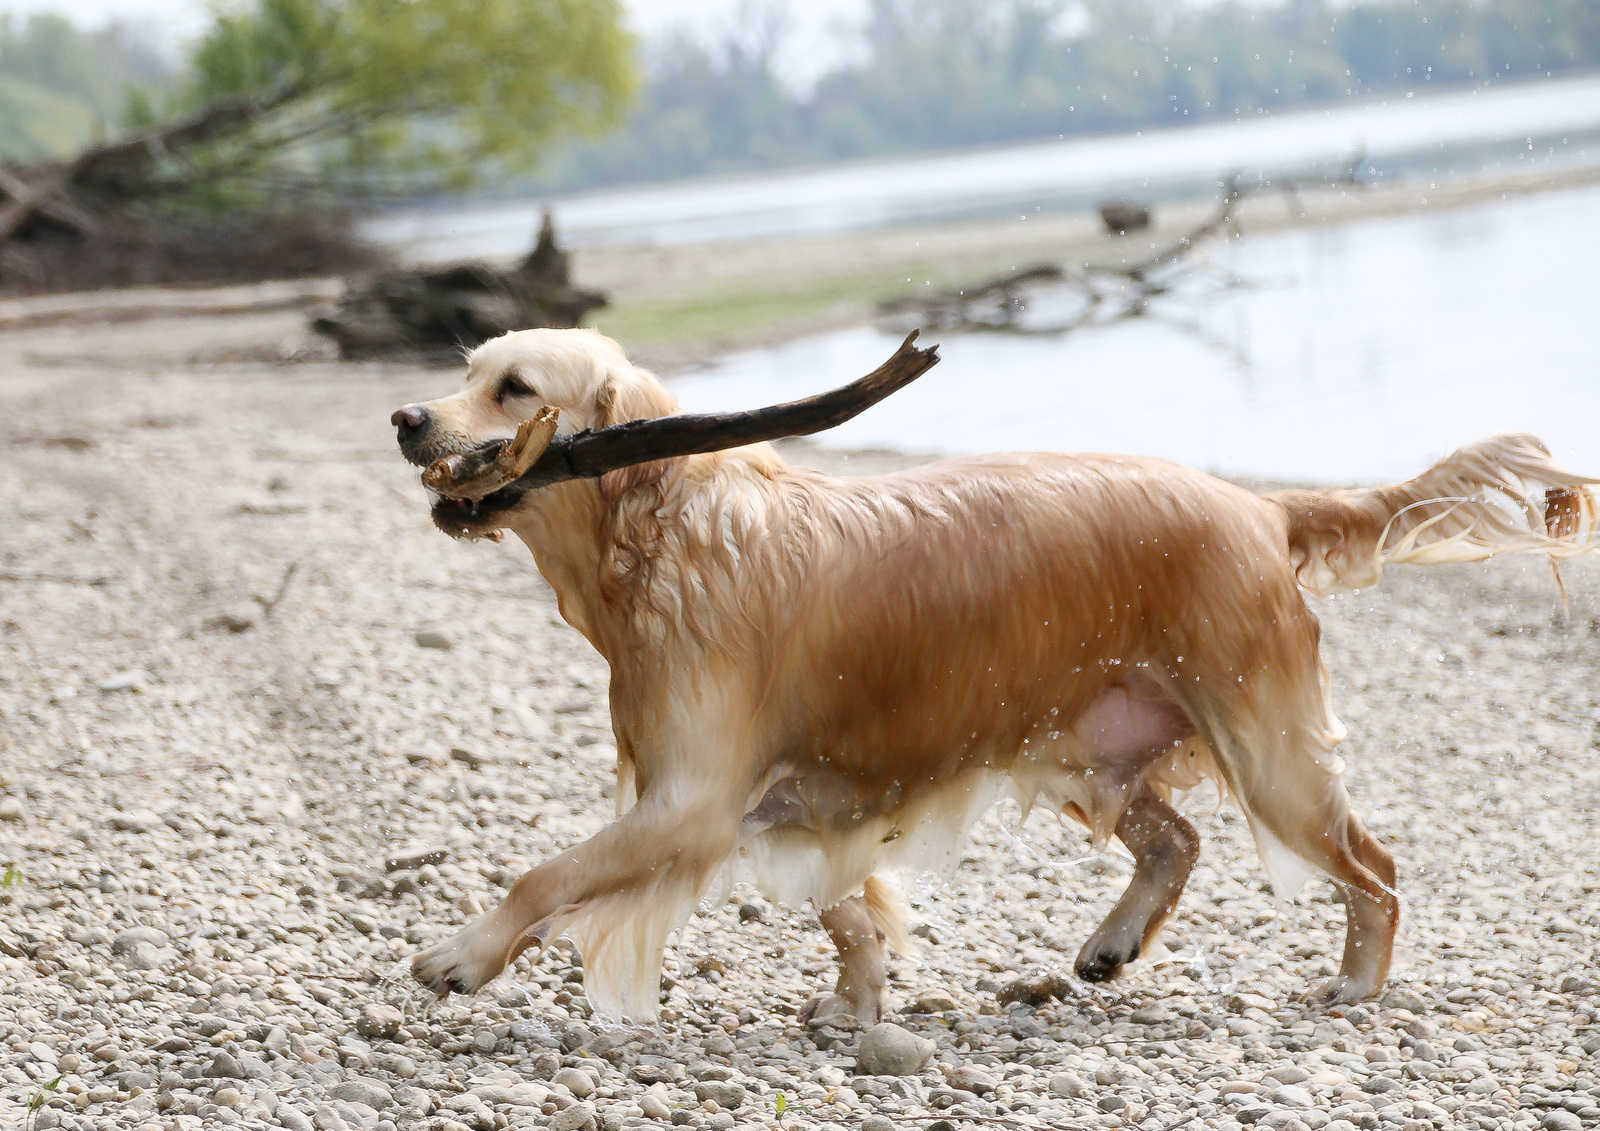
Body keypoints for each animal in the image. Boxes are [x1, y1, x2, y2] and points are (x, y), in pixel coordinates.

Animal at [390, 327, 1600, 1023]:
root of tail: (1258, 506)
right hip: (1080, 742)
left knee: (1373, 866)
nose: (405, 416)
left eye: (514, 389)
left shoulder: (689, 804)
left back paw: (1357, 981)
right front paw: (859, 1001)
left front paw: (461, 955)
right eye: (462, 374)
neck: (668, 529)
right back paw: (1111, 945)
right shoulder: (766, 798)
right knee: (1177, 836)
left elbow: (541, 876)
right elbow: (845, 909)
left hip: (1271, 757)